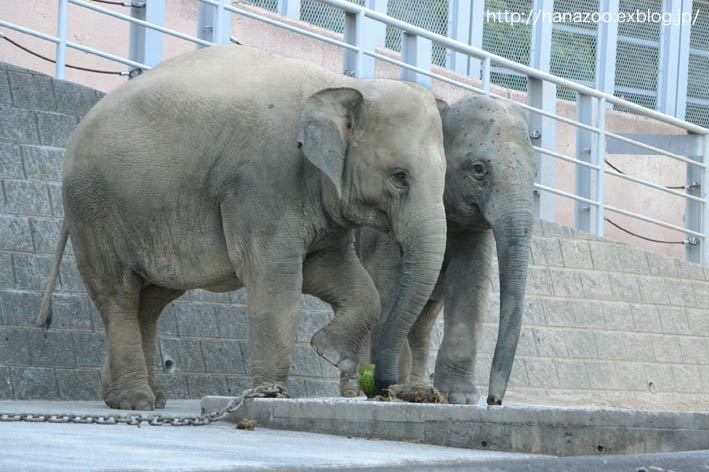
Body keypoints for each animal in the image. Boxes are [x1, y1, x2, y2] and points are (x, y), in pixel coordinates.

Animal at [36, 46, 446, 412]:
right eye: (399, 177)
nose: (386, 388)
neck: (344, 84)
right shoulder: (263, 184)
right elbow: (276, 284)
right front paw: (271, 395)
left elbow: (344, 277)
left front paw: (329, 351)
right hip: (96, 209)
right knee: (118, 294)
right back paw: (135, 402)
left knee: (150, 299)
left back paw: (147, 398)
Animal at [352, 95, 532, 406]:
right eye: (478, 169)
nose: (494, 400)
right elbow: (388, 286)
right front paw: (391, 388)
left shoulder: (473, 231)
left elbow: (472, 283)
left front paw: (459, 397)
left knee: (422, 321)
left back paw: (417, 386)